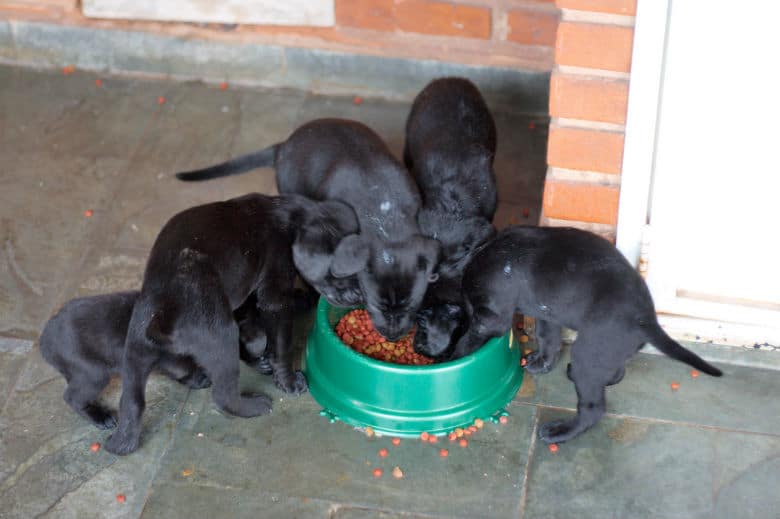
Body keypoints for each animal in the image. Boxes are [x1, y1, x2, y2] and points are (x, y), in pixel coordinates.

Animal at [104, 194, 360, 456]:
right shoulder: (274, 296)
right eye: (339, 273)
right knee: (223, 394)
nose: (358, 296)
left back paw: (119, 442)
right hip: (220, 335)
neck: (296, 218)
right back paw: (254, 405)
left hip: (135, 353)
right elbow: (280, 344)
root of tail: (162, 313)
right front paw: (288, 381)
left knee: (132, 403)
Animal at [436, 225, 724, 444]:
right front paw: (542, 362)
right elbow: (547, 338)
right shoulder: (546, 312)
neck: (485, 254)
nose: (447, 352)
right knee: (616, 370)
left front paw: (459, 350)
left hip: (588, 352)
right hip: (605, 349)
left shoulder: (492, 315)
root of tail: (646, 321)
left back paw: (560, 431)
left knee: (593, 410)